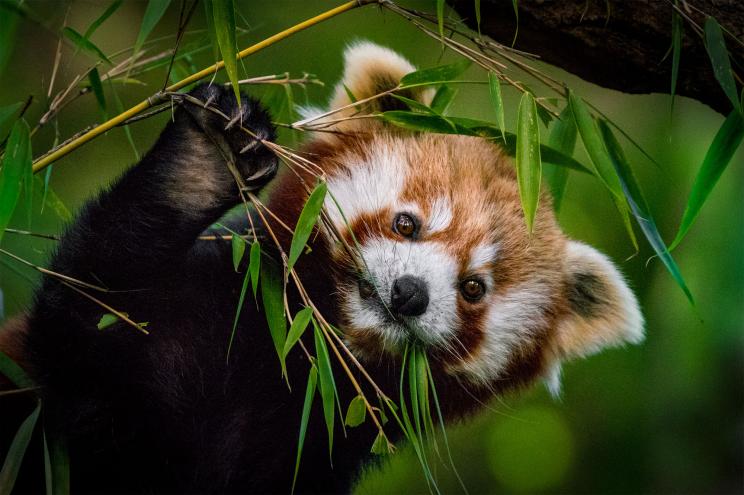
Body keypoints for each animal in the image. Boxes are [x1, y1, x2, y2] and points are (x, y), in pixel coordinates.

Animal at [0, 42, 640, 495]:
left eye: (474, 288)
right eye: (407, 224)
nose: (409, 294)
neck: (295, 357)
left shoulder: (313, 449)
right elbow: (84, 313)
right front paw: (202, 163)